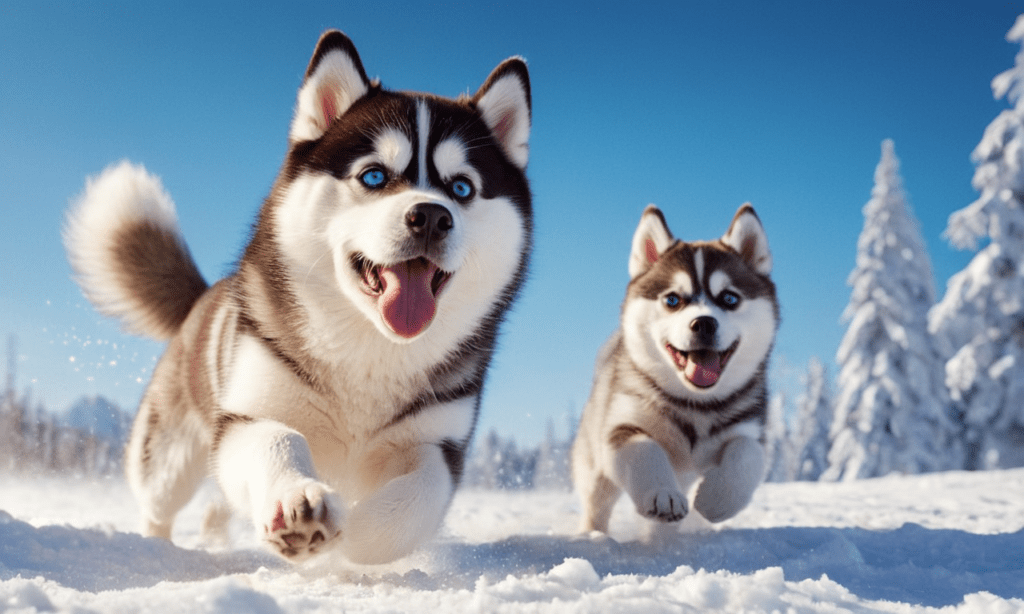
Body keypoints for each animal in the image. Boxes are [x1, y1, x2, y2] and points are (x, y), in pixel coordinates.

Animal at [64, 31, 532, 564]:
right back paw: (160, 546)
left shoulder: (438, 442)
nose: (431, 217)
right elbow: (279, 439)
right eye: (374, 176)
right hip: (168, 455)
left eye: (462, 188)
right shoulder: (249, 415)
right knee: (157, 503)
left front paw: (357, 532)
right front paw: (298, 501)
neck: (370, 352)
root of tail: (204, 297)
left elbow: (417, 500)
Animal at [573, 204, 778, 532]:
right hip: (595, 463)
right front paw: (662, 495)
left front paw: (717, 500)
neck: (696, 405)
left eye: (729, 298)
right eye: (672, 300)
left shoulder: (748, 427)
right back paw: (594, 535)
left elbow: (748, 452)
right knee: (596, 505)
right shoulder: (622, 425)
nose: (703, 323)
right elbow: (644, 450)